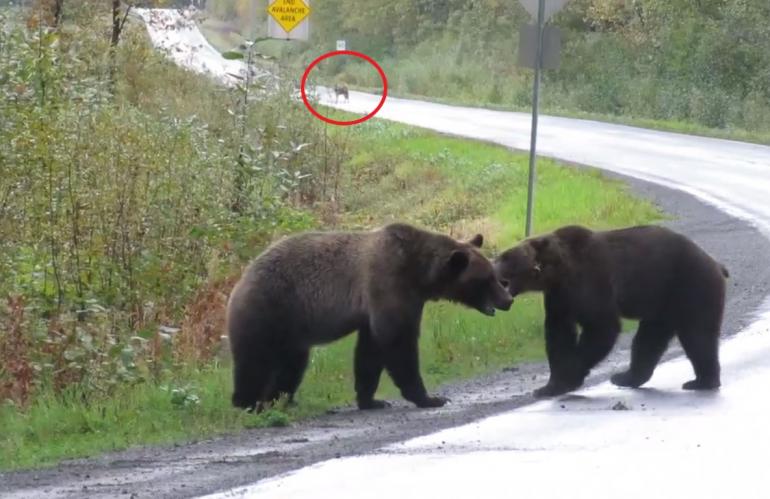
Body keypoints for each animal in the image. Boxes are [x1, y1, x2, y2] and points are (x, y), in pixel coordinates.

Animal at [226, 222, 513, 411]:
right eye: (487, 279)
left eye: (493, 273)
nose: (508, 299)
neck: (419, 274)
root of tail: (240, 280)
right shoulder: (388, 283)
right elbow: (398, 341)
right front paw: (430, 398)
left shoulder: (378, 306)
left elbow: (370, 350)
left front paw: (371, 400)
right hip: (269, 309)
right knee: (255, 360)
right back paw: (247, 402)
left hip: (293, 331)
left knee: (292, 364)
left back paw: (282, 400)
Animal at [493, 224, 728, 398]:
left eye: (504, 257)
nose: (491, 267)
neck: (558, 271)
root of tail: (716, 263)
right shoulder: (560, 297)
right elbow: (559, 333)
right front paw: (550, 386)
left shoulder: (591, 281)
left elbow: (601, 327)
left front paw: (569, 377)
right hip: (663, 304)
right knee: (649, 339)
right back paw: (628, 377)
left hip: (690, 287)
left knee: (698, 335)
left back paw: (702, 381)